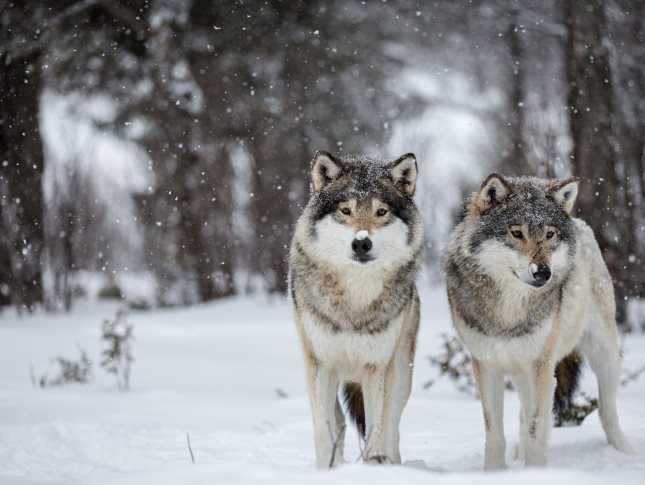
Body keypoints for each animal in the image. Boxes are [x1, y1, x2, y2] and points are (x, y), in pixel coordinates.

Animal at [290, 150, 422, 466]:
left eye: (381, 212)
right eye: (346, 211)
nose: (361, 243)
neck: (355, 299)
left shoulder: (376, 367)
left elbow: (377, 429)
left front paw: (374, 465)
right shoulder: (321, 365)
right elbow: (324, 431)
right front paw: (326, 469)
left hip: (401, 374)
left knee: (392, 426)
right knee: (337, 423)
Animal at [442, 175, 632, 468]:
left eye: (550, 234)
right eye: (516, 233)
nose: (543, 272)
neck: (508, 311)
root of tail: (580, 223)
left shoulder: (541, 368)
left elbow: (536, 429)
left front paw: (534, 470)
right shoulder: (487, 367)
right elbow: (495, 433)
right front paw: (495, 472)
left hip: (603, 355)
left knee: (607, 411)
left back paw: (624, 451)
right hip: (522, 371)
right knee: (522, 414)